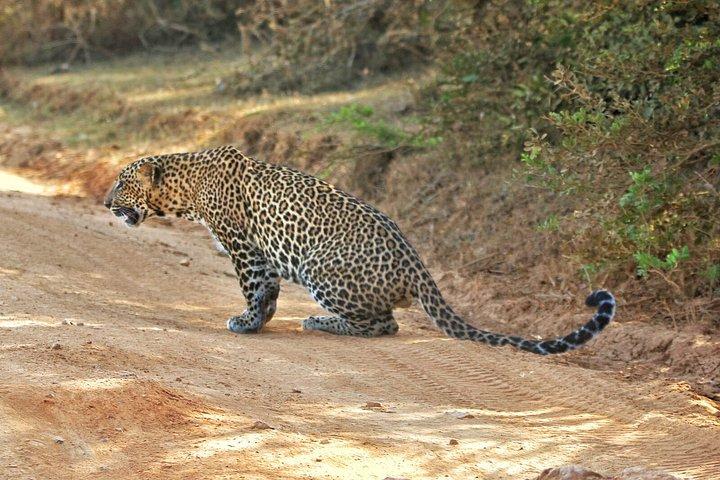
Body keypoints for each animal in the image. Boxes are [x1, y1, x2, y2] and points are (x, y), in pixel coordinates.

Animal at [104, 145, 616, 355]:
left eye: (122, 183)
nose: (107, 203)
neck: (186, 188)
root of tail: (416, 264)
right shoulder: (261, 253)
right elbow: (267, 291)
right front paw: (260, 321)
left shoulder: (242, 245)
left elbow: (253, 288)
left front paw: (246, 323)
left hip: (321, 268)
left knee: (384, 324)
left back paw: (321, 322)